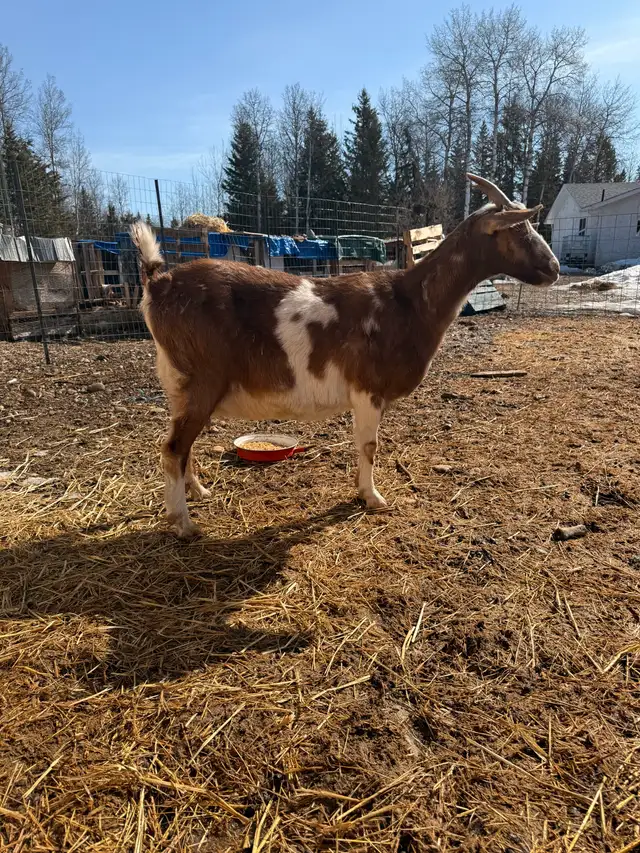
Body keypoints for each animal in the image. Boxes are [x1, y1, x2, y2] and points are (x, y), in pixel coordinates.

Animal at [130, 174, 559, 538]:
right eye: (518, 228)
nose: (554, 268)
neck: (408, 301)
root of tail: (159, 282)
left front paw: (362, 491)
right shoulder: (368, 389)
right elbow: (369, 446)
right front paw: (373, 498)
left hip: (179, 386)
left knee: (180, 445)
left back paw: (199, 492)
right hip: (201, 379)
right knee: (173, 448)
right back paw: (183, 523)